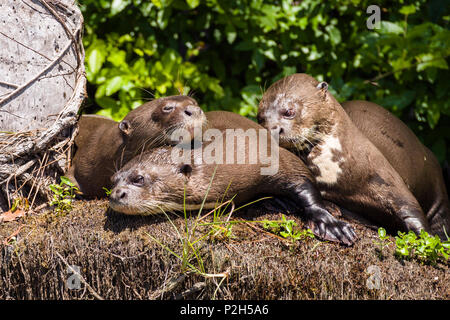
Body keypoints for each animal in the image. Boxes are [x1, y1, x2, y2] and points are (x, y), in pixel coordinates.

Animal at [110, 111, 358, 246]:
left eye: (139, 178)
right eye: (113, 180)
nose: (115, 195)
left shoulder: (274, 157)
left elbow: (303, 180)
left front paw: (330, 224)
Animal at [256, 74, 450, 239]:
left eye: (289, 111)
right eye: (260, 118)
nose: (272, 129)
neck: (334, 171)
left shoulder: (382, 175)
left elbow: (409, 207)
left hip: (437, 186)